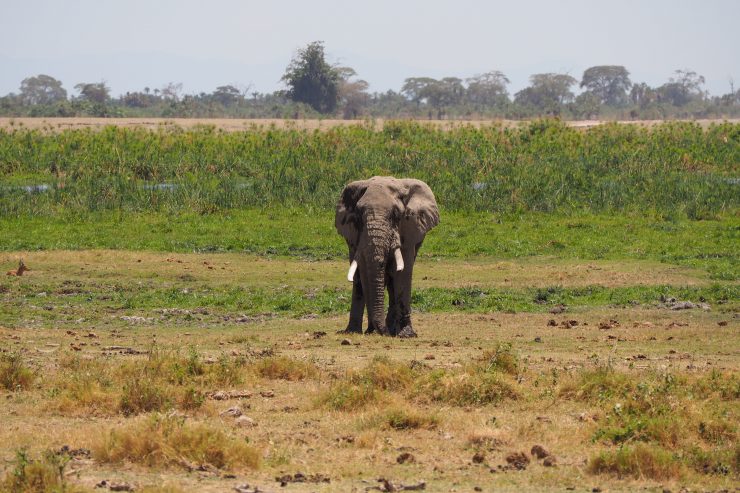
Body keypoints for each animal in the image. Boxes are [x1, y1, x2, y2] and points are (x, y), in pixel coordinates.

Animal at [336, 175, 440, 336]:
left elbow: (403, 272)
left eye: (396, 215)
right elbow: (360, 274)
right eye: (359, 215)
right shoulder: (354, 236)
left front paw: (407, 335)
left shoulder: (408, 231)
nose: (379, 331)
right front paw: (354, 332)